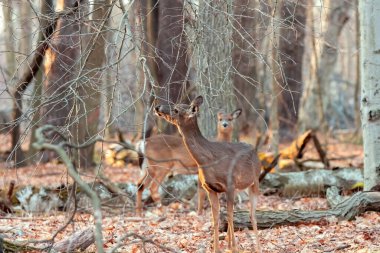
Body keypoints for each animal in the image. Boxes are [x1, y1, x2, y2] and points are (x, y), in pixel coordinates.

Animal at [154, 96, 262, 253]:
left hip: (255, 181)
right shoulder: (210, 188)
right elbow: (215, 218)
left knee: (252, 214)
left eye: (176, 109)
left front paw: (234, 248)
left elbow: (230, 216)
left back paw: (257, 247)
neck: (208, 160)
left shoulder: (230, 184)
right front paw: (218, 248)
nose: (157, 107)